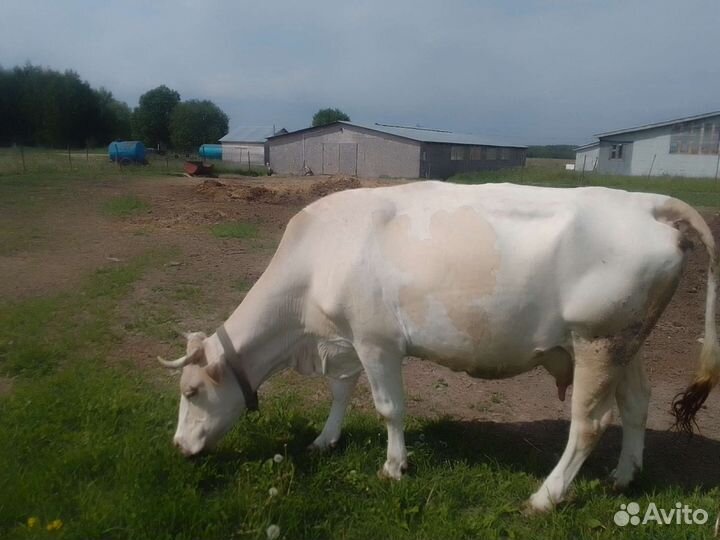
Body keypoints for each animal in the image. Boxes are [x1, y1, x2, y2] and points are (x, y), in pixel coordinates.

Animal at [158, 181, 719, 513]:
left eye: (190, 392)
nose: (178, 447)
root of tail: (646, 202)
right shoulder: (344, 340)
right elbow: (341, 392)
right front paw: (325, 439)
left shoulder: (376, 340)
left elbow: (389, 408)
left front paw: (393, 467)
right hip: (629, 341)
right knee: (637, 403)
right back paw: (624, 477)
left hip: (597, 338)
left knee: (590, 423)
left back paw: (546, 496)